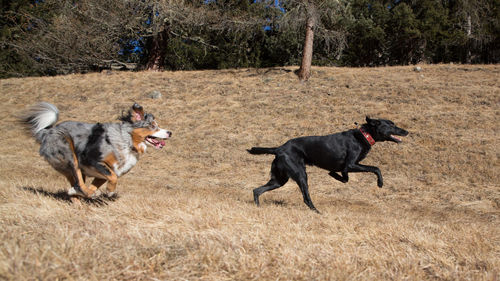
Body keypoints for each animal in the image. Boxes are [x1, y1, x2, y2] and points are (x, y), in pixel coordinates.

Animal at [21, 101, 172, 202]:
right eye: (153, 126)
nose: (170, 132)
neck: (127, 140)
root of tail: (47, 131)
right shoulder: (93, 161)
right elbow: (113, 178)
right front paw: (110, 192)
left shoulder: (104, 173)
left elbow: (98, 184)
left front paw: (89, 193)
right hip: (70, 154)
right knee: (78, 179)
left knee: (76, 184)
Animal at [248, 116, 408, 212]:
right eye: (391, 125)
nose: (406, 131)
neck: (364, 135)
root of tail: (279, 148)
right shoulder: (350, 165)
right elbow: (375, 168)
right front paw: (380, 183)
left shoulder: (348, 168)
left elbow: (345, 177)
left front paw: (334, 174)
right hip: (300, 175)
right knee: (306, 198)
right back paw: (317, 212)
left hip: (279, 179)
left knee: (257, 190)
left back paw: (258, 207)